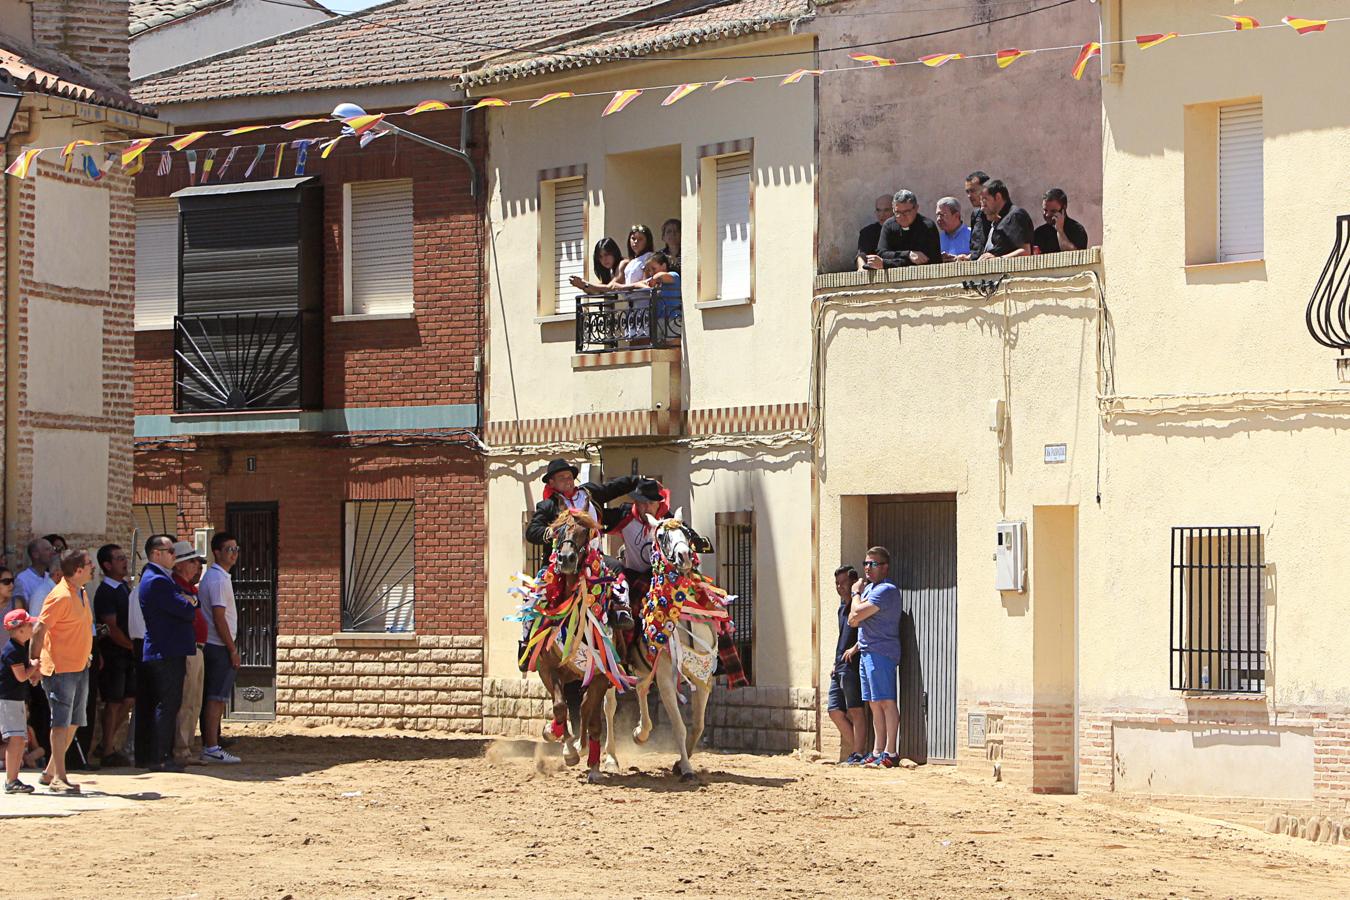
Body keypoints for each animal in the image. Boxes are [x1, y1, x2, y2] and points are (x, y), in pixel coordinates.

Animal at [513, 510, 634, 782]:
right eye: (558, 532)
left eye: (584, 533)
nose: (566, 559)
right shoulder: (548, 669)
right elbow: (560, 707)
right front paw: (563, 743)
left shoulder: (600, 674)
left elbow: (591, 714)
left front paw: (593, 764)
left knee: (595, 709)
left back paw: (597, 753)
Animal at [602, 512, 729, 782]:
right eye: (661, 536)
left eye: (687, 532)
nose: (683, 556)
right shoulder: (665, 676)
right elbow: (679, 727)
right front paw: (687, 770)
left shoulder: (703, 676)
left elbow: (698, 725)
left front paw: (680, 763)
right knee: (609, 706)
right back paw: (610, 758)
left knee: (640, 689)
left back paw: (640, 733)